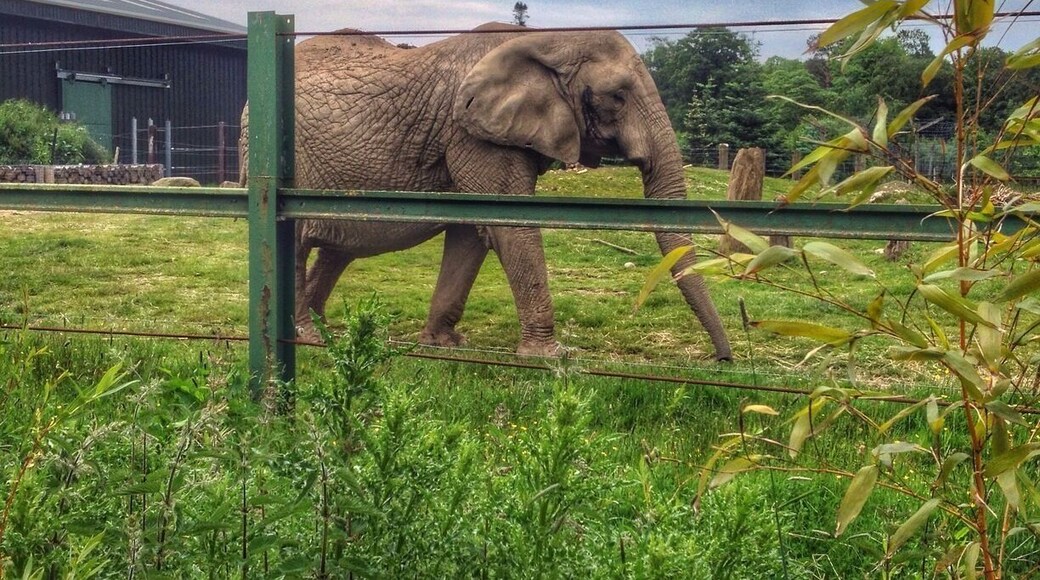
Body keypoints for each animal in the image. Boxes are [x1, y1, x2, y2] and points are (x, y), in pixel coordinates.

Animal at [240, 24, 733, 361]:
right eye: (617, 96)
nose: (722, 360)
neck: (546, 41)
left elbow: (473, 229)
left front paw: (445, 345)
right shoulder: (474, 134)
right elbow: (507, 225)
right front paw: (553, 358)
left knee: (334, 251)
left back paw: (328, 333)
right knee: (297, 239)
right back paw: (307, 338)